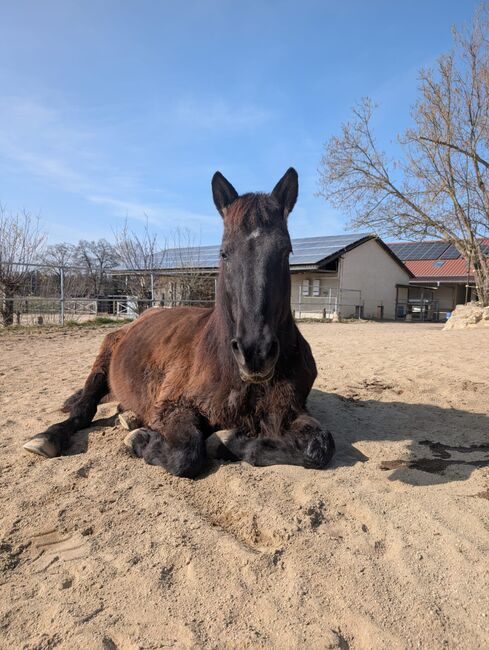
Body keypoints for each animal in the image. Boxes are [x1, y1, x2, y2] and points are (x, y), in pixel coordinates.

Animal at [23, 168, 335, 478]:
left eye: (286, 251)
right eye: (224, 253)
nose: (255, 352)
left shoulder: (290, 411)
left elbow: (319, 446)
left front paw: (227, 440)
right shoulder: (174, 406)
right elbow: (186, 453)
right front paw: (140, 439)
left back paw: (131, 417)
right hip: (102, 362)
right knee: (84, 409)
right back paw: (50, 437)